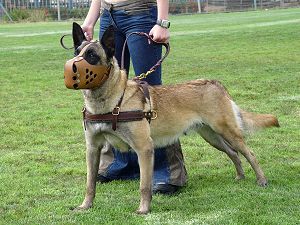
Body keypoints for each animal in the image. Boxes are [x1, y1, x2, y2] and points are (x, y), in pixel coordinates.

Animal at [65, 22, 278, 214]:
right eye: (76, 52)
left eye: (92, 56)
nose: (72, 67)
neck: (112, 100)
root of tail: (215, 83)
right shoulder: (93, 149)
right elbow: (90, 183)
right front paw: (85, 206)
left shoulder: (144, 148)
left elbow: (144, 185)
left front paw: (143, 210)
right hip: (212, 136)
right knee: (233, 153)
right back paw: (240, 177)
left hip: (228, 132)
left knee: (250, 153)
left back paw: (262, 180)